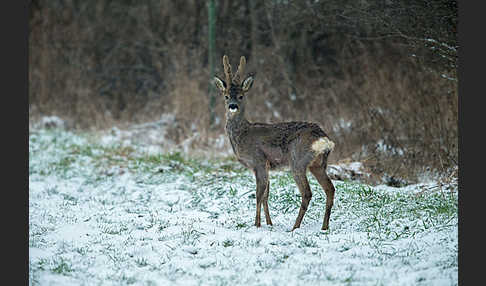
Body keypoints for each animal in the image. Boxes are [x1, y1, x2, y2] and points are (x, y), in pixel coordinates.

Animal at [215, 55, 336, 230]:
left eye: (241, 96)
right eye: (226, 96)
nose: (232, 106)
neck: (243, 135)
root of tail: (323, 139)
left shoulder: (259, 161)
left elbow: (258, 195)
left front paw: (257, 224)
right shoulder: (266, 166)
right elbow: (266, 195)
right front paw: (269, 223)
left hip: (298, 162)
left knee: (307, 192)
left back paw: (295, 227)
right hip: (318, 164)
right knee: (330, 188)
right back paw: (324, 227)